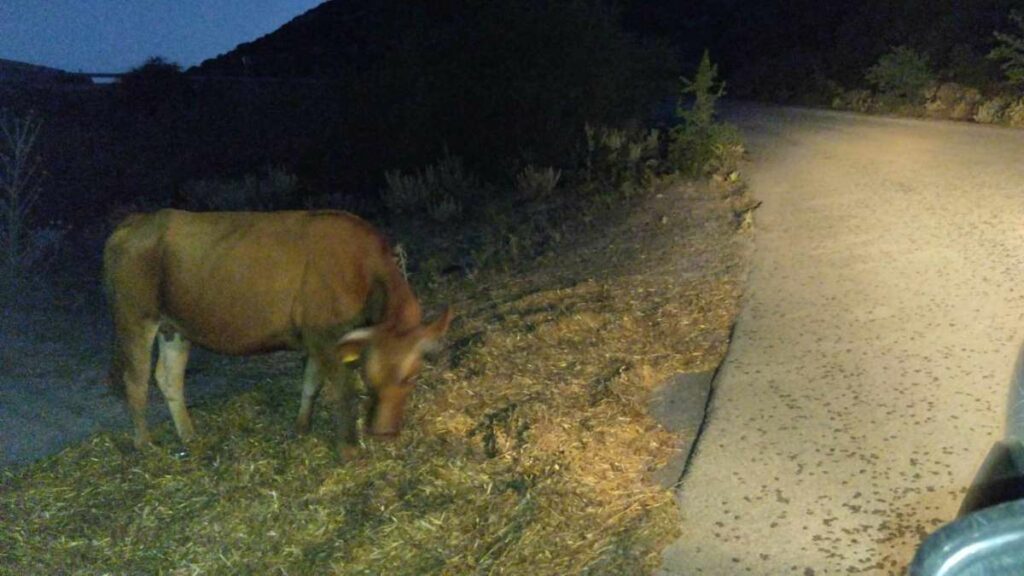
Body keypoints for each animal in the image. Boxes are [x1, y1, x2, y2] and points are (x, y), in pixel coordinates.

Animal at [103, 207, 452, 453]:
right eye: (369, 374)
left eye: (412, 377)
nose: (383, 432)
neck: (361, 270)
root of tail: (135, 222)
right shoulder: (325, 336)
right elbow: (343, 390)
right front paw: (350, 450)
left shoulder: (316, 337)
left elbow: (311, 384)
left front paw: (301, 428)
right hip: (135, 317)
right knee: (136, 380)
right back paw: (145, 444)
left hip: (174, 327)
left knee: (168, 377)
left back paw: (189, 436)